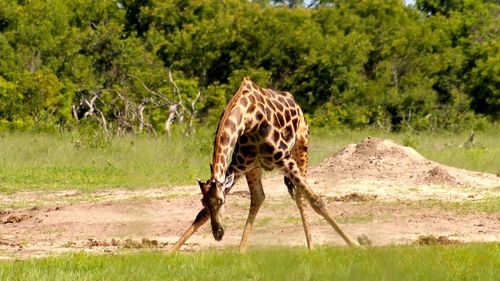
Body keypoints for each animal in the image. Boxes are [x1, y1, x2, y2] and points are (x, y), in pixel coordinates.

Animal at [172, 76, 360, 252]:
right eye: (204, 202)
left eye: (221, 201)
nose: (218, 233)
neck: (249, 118)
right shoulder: (240, 165)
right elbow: (201, 215)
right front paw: (169, 253)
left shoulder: (284, 159)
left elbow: (317, 201)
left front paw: (356, 245)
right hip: (255, 167)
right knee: (258, 196)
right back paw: (241, 251)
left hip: (301, 149)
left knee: (301, 196)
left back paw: (311, 248)